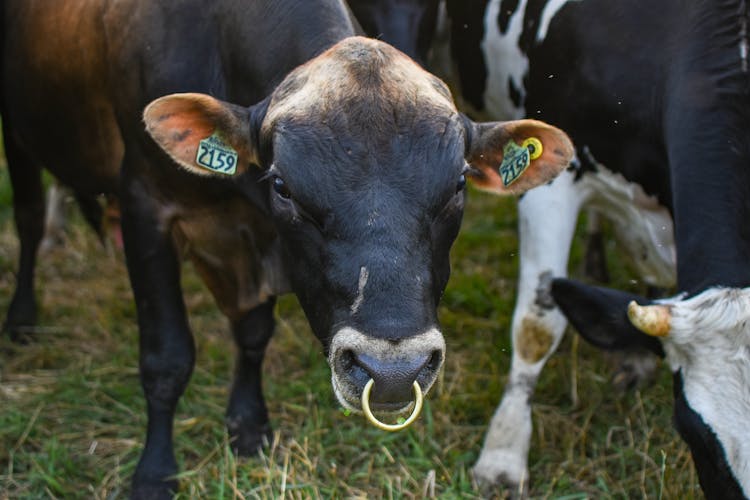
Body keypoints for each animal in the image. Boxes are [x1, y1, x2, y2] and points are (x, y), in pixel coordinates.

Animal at [1, 0, 576, 496]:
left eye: (459, 184)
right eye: (282, 186)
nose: (394, 372)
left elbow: (254, 333)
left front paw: (249, 425)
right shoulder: (146, 204)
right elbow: (166, 358)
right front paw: (155, 473)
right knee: (28, 221)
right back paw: (22, 317)